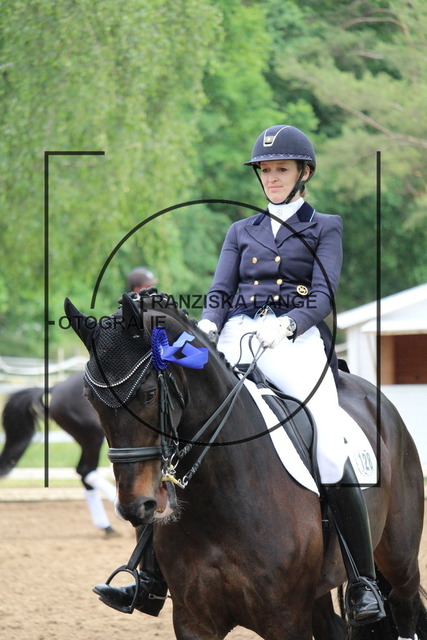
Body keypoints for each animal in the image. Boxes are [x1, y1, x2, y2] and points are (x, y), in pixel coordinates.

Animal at [0, 371, 118, 535]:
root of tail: (56, 388)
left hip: (86, 438)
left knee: (84, 472)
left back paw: (107, 525)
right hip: (93, 435)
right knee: (86, 470)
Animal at [64, 290, 426, 640]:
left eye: (149, 393)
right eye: (90, 399)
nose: (134, 506)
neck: (220, 496)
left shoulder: (285, 622)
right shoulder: (194, 623)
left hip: (400, 563)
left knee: (404, 608)